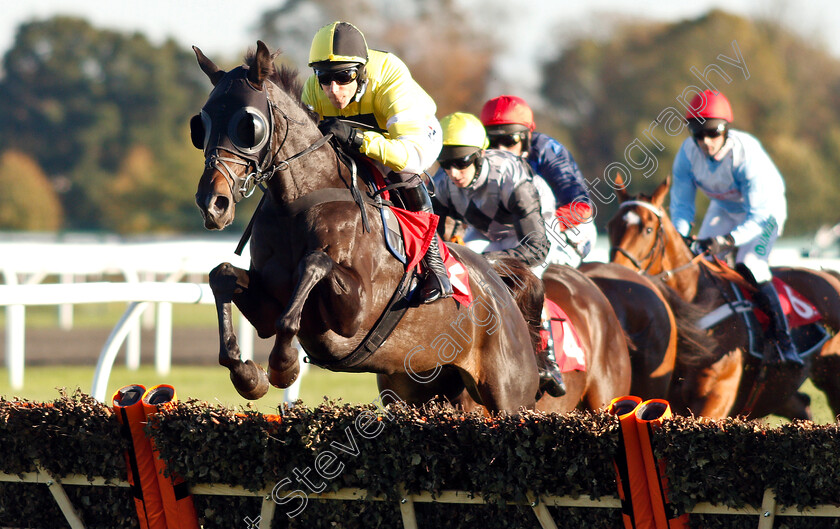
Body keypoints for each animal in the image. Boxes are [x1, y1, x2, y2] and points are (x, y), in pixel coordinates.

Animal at [191, 42, 540, 412]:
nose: (212, 203)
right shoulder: (267, 305)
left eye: (248, 126)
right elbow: (222, 275)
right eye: (202, 124)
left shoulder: (354, 313)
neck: (297, 203)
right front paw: (247, 375)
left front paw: (283, 365)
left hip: (509, 394)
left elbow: (313, 264)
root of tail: (497, 281)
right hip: (422, 389)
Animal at [608, 175, 840, 418]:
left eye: (648, 229)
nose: (617, 269)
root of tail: (829, 275)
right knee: (802, 404)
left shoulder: (716, 396)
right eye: (610, 226)